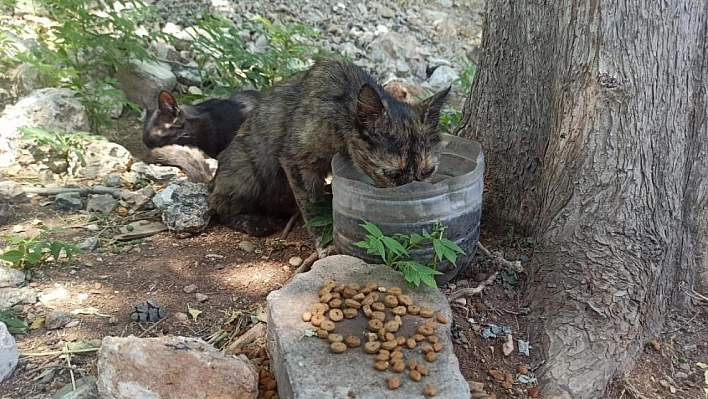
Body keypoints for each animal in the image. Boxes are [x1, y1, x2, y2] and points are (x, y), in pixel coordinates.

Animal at [207, 57, 448, 255]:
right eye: (392, 174)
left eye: (428, 171)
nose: (415, 199)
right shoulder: (297, 161)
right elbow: (312, 207)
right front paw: (327, 244)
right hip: (247, 170)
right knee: (216, 206)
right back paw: (253, 222)